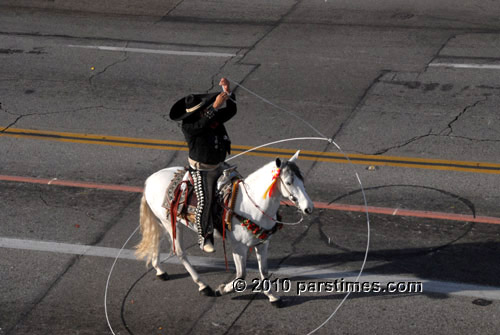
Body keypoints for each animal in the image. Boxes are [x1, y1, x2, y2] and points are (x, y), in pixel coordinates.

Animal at [134, 152, 312, 308]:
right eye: (288, 182)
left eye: (302, 180)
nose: (308, 208)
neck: (250, 205)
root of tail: (150, 180)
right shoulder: (239, 246)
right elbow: (241, 276)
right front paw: (221, 290)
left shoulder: (262, 244)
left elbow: (264, 272)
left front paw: (273, 297)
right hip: (172, 224)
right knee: (179, 252)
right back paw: (203, 286)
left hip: (164, 222)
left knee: (157, 239)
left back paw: (159, 270)